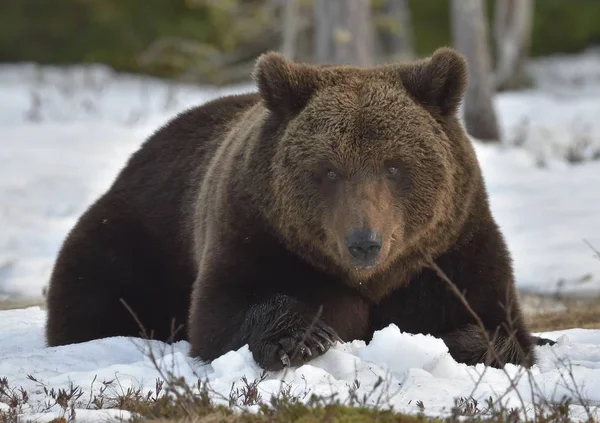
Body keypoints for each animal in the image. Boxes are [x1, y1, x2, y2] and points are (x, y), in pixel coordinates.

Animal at [45, 47, 552, 372]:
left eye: (394, 165)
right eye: (327, 170)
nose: (364, 243)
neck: (372, 280)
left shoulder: (450, 247)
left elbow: (496, 322)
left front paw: (463, 341)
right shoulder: (255, 229)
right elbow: (223, 311)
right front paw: (303, 336)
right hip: (136, 235)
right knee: (92, 291)